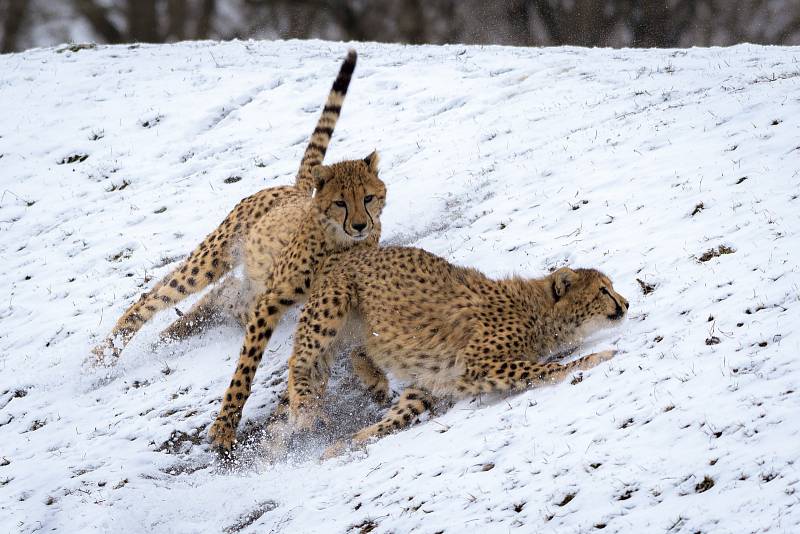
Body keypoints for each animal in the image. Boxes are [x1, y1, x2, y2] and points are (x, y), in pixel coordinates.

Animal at [92, 49, 374, 364]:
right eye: (342, 203)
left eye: (368, 198)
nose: (360, 225)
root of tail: (295, 189)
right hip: (212, 257)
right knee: (154, 299)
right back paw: (103, 357)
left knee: (214, 294)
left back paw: (171, 332)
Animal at [276, 247, 632, 456]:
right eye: (603, 291)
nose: (626, 303)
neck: (540, 313)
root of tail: (350, 252)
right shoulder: (473, 367)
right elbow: (545, 369)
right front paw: (595, 358)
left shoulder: (433, 381)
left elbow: (399, 416)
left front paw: (350, 442)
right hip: (332, 307)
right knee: (299, 360)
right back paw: (304, 409)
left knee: (356, 351)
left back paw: (374, 381)